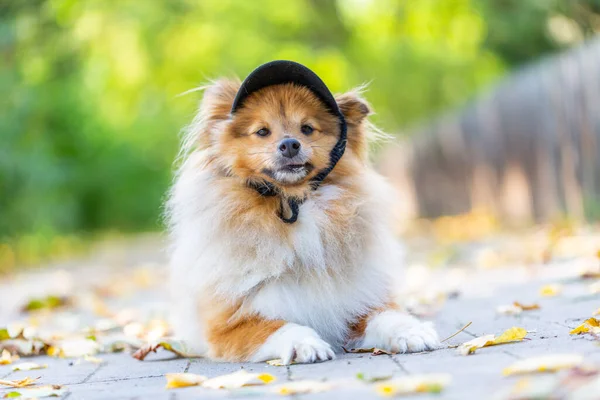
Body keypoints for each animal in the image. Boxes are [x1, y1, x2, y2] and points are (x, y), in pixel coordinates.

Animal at [166, 61, 438, 364]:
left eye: (307, 128)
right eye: (262, 132)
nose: (289, 144)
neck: (294, 204)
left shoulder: (361, 300)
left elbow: (388, 315)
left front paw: (412, 332)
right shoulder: (228, 326)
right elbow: (281, 326)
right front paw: (307, 344)